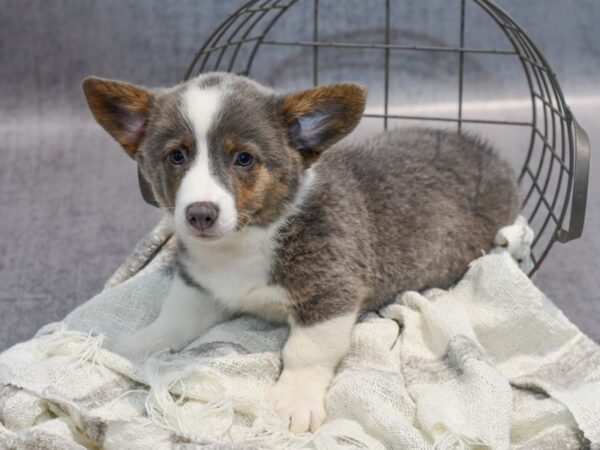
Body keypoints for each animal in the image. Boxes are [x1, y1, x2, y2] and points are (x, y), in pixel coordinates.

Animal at [82, 72, 516, 434]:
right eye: (177, 156)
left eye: (244, 158)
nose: (200, 214)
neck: (247, 240)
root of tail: (485, 152)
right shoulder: (200, 287)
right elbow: (171, 320)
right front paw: (134, 346)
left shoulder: (330, 294)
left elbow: (305, 350)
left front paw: (293, 401)